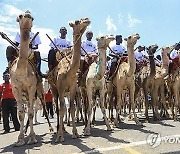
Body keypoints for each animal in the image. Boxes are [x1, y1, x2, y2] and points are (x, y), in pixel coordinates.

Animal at [9, 11, 52, 147]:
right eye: (20, 16)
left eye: (32, 18)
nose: (27, 15)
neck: (21, 71)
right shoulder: (16, 89)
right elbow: (21, 114)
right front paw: (20, 139)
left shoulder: (32, 87)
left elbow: (32, 113)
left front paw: (32, 138)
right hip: (26, 95)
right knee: (28, 108)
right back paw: (26, 131)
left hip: (38, 91)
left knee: (41, 107)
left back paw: (51, 128)